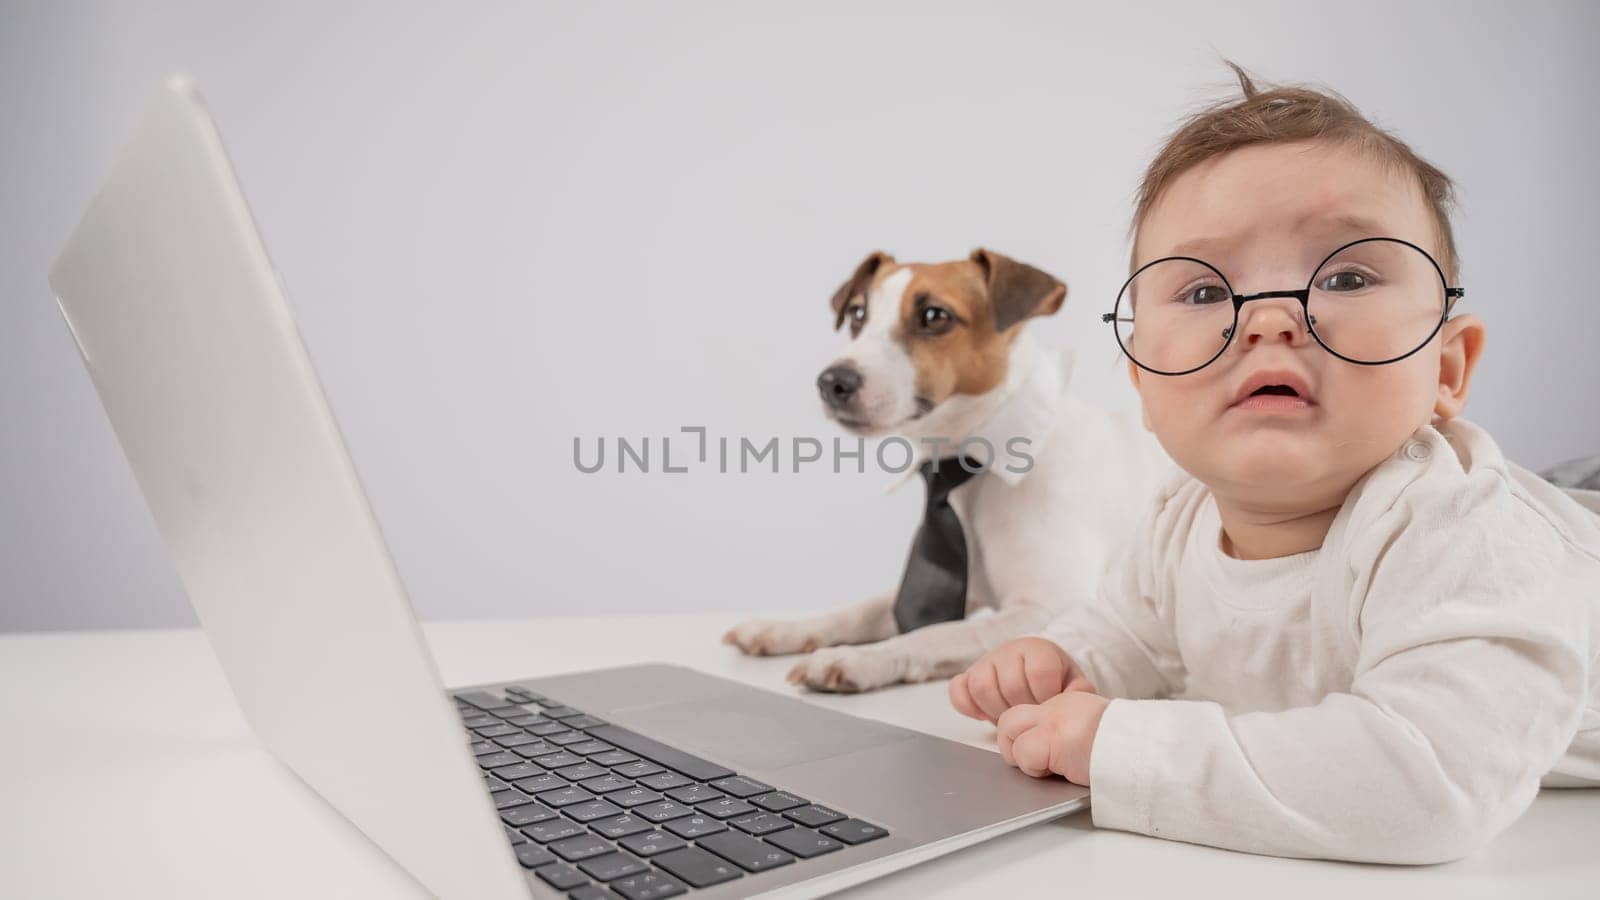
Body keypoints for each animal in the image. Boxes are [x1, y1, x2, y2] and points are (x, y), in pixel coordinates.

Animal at [723, 248, 1164, 688]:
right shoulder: (962, 590)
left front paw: (859, 658)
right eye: (857, 314)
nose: (832, 382)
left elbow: (935, 633)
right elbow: (864, 609)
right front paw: (784, 628)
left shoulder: (1053, 607)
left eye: (935, 316)